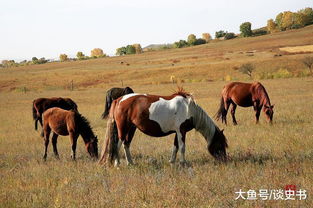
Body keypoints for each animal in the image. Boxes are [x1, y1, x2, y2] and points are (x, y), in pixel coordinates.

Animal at [99, 88, 227, 167]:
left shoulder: (177, 132)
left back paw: (131, 163)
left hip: (131, 129)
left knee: (126, 144)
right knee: (117, 145)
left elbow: (175, 147)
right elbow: (182, 147)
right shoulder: (181, 131)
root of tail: (118, 100)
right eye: (220, 144)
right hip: (123, 128)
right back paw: (117, 164)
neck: (189, 109)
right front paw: (183, 163)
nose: (225, 160)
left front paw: (172, 162)